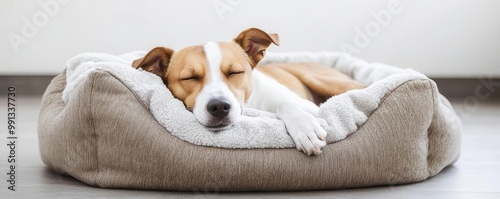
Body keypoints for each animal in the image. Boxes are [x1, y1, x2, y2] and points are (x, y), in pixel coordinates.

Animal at [132, 28, 364, 155]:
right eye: (190, 78)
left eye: (235, 72)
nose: (219, 107)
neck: (254, 103)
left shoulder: (309, 106)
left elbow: (285, 103)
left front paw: (305, 129)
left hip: (325, 81)